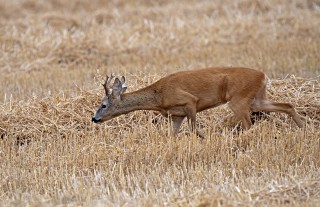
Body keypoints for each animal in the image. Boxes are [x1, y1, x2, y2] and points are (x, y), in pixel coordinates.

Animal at [91, 67, 304, 137]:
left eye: (103, 105)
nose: (94, 118)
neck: (159, 97)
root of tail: (263, 75)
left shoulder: (189, 101)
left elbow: (194, 129)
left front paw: (207, 139)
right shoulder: (176, 116)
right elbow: (171, 136)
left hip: (239, 99)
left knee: (249, 124)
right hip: (257, 99)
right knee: (287, 105)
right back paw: (303, 128)